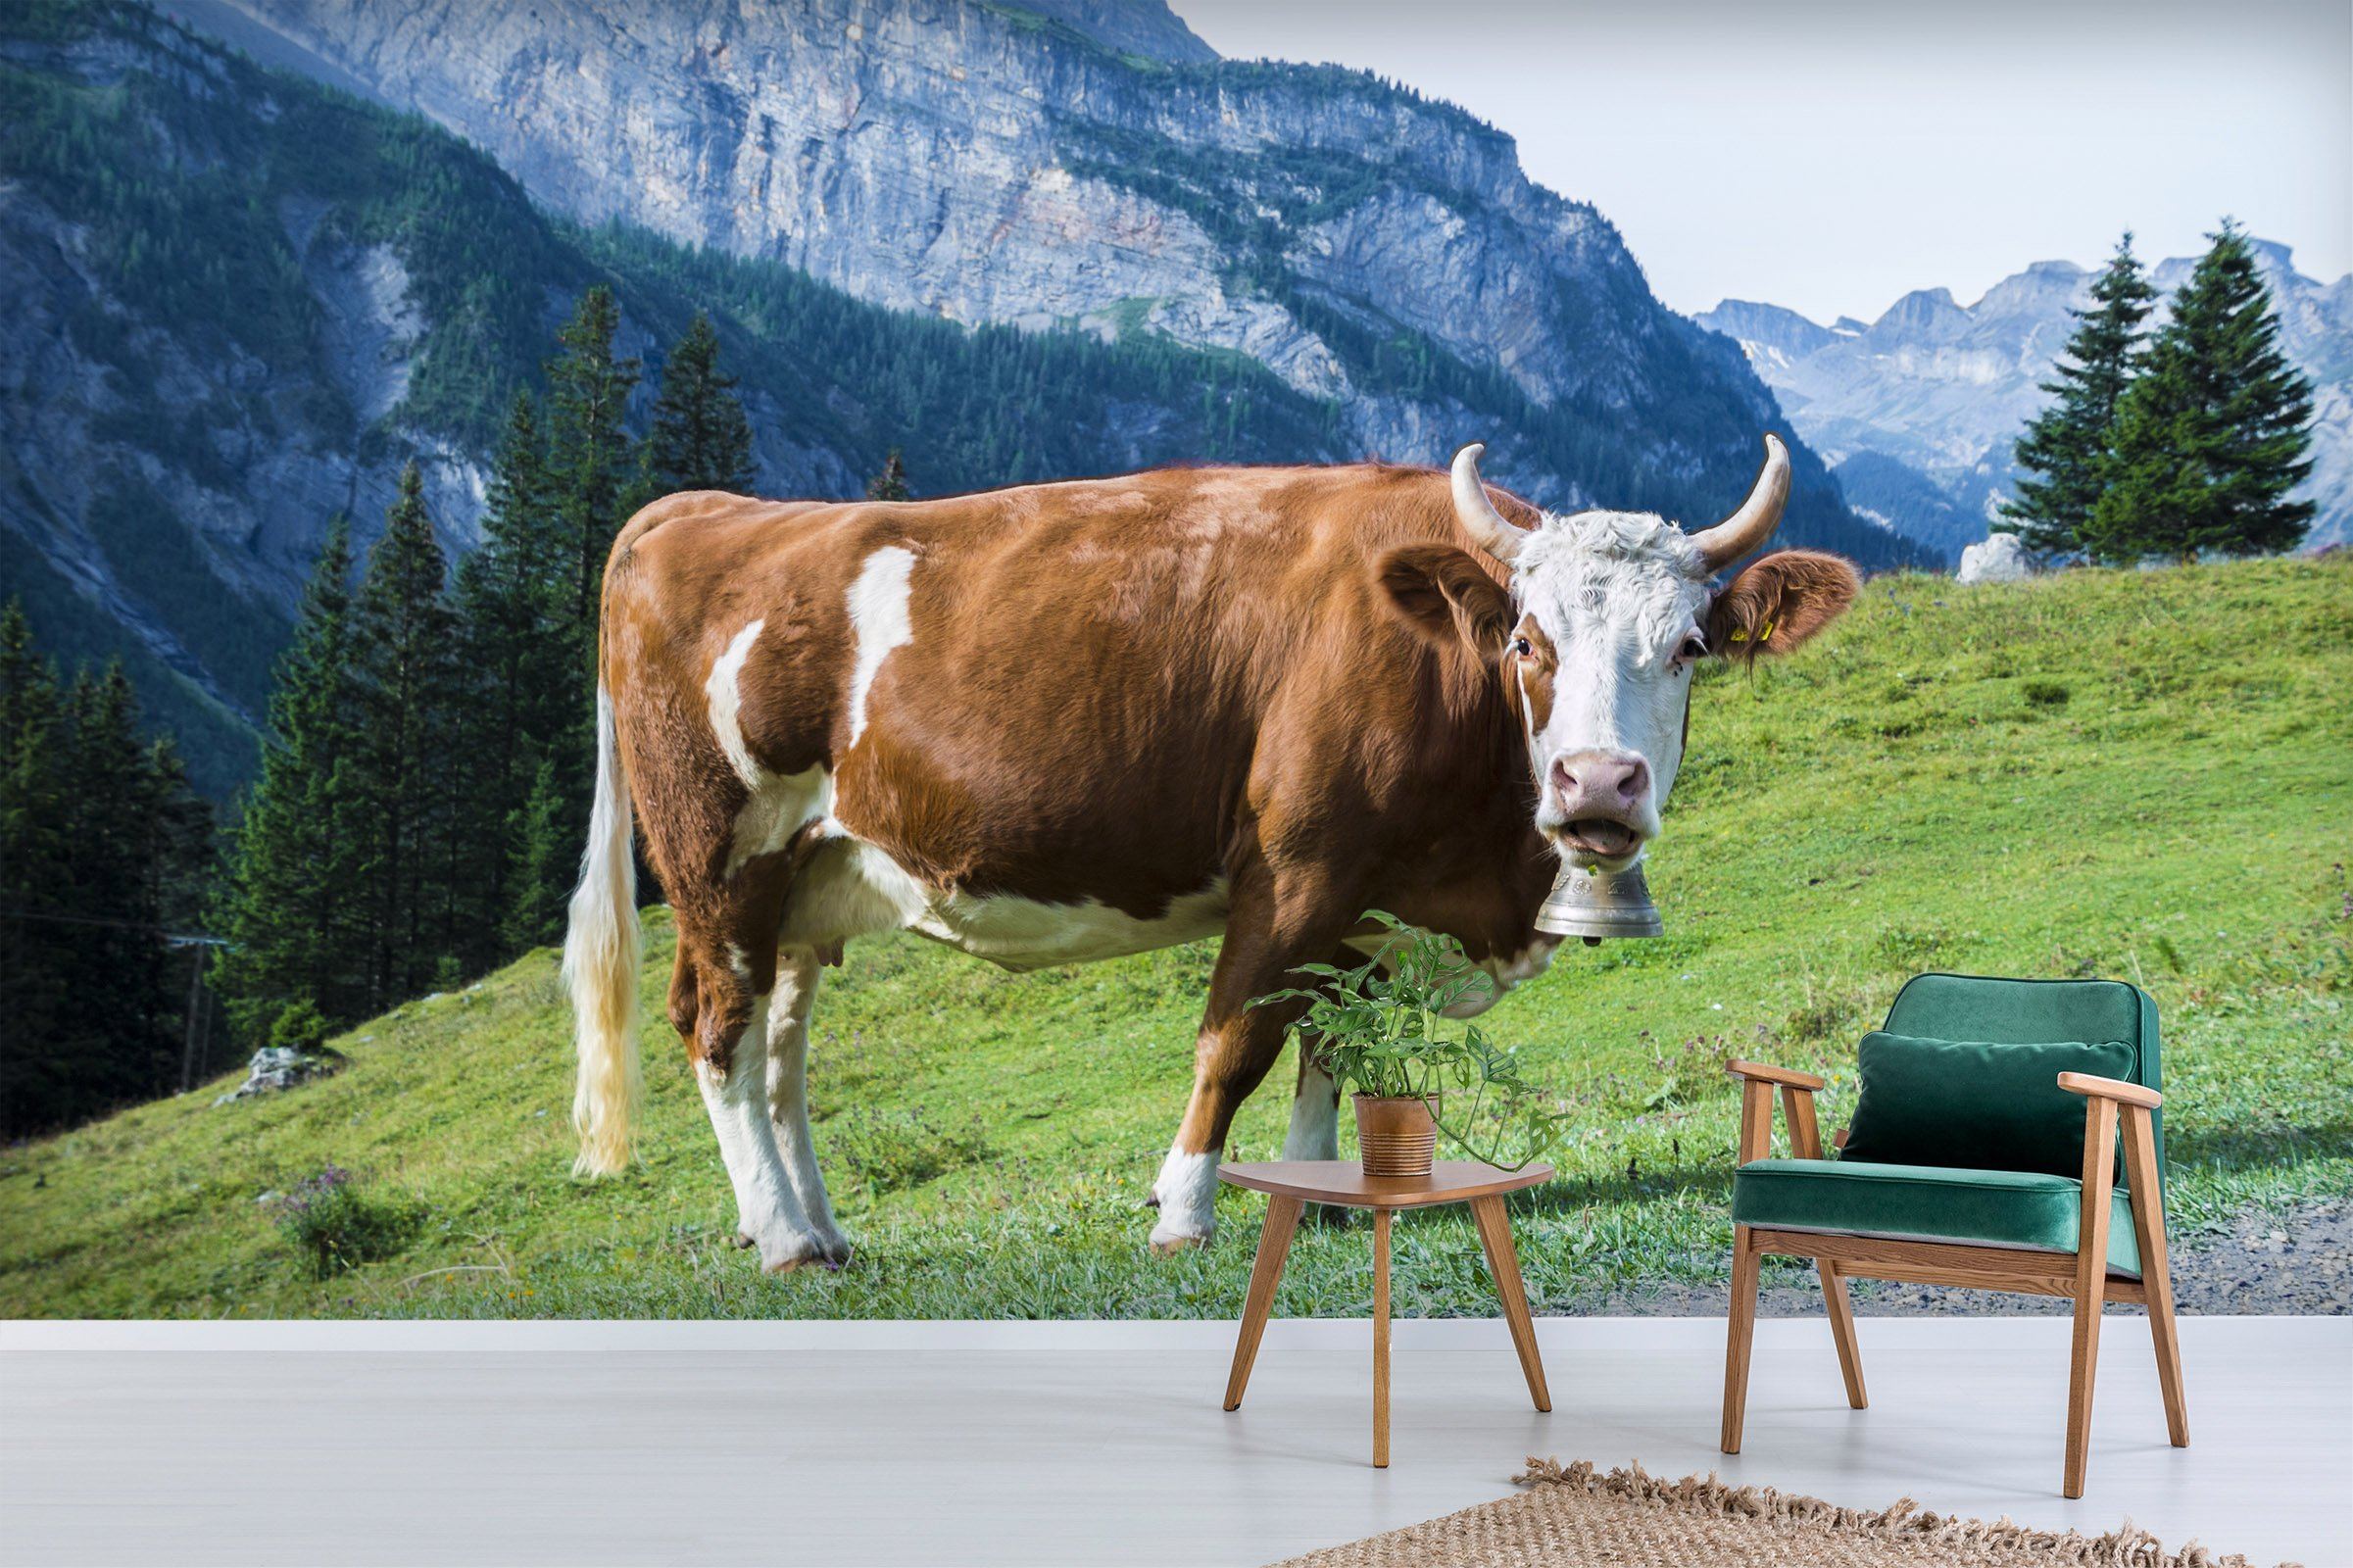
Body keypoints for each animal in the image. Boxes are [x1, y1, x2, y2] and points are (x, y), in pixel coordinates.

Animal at [562, 435, 1859, 1270]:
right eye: (1527, 641)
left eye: (1689, 644)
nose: (1596, 784)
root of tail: (699, 509)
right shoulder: (1296, 870)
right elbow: (1236, 1044)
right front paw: (1182, 1210)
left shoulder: (1369, 904)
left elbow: (1340, 1044)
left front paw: (1331, 1193)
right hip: (719, 858)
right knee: (715, 1030)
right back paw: (782, 1239)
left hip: (810, 879)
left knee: (780, 1052)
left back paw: (817, 1228)